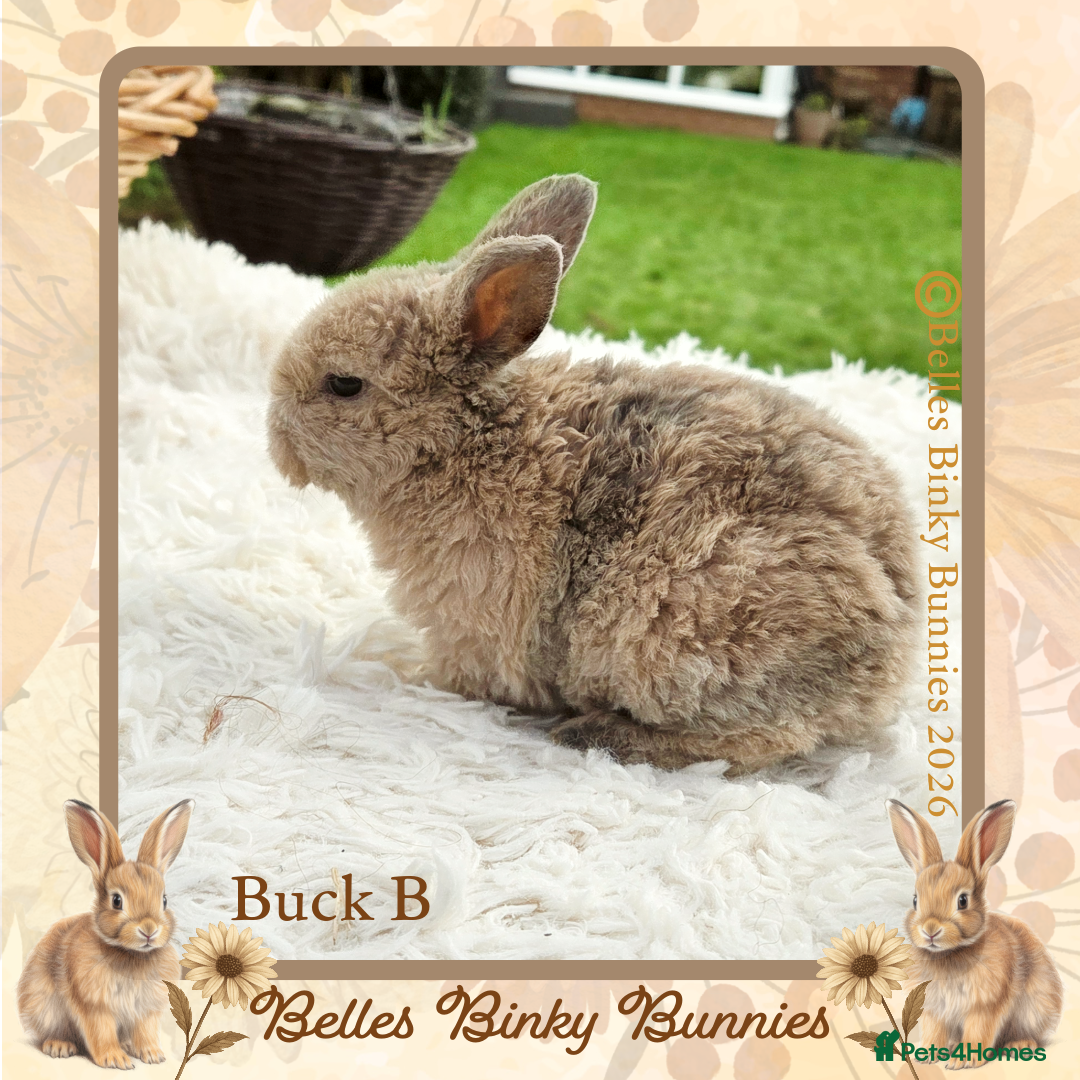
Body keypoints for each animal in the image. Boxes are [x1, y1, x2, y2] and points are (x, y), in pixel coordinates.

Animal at [17, 799, 195, 1069]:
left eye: (164, 900)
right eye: (117, 900)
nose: (149, 930)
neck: (131, 954)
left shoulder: (145, 1010)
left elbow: (145, 1031)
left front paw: (152, 1055)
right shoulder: (95, 1005)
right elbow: (101, 1031)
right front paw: (116, 1060)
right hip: (45, 1008)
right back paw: (59, 1046)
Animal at [268, 173, 919, 774]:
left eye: (344, 384)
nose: (275, 440)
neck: (466, 439)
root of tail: (893, 649)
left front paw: (403, 673)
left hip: (692, 628)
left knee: (767, 739)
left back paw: (596, 734)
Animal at [886, 798, 1063, 1066]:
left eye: (962, 901)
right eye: (915, 900)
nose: (930, 930)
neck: (949, 954)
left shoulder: (984, 1005)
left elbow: (978, 1031)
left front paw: (963, 1060)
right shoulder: (935, 1009)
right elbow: (934, 1031)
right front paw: (926, 1055)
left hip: (1034, 1009)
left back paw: (1019, 1045)